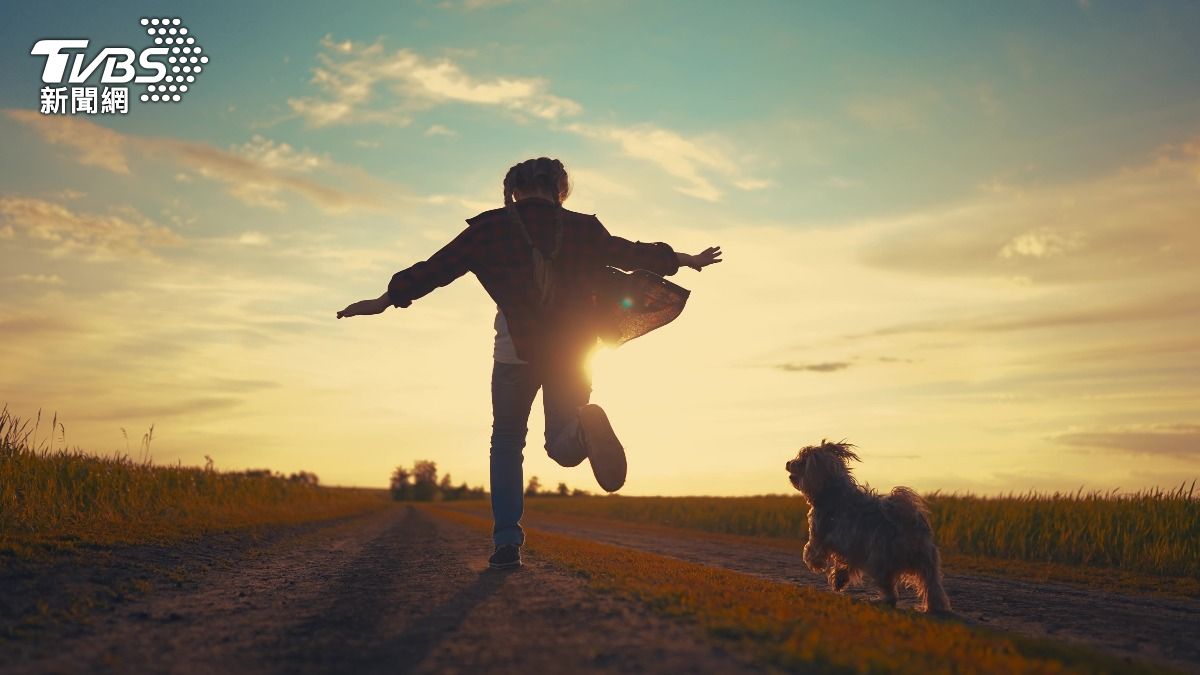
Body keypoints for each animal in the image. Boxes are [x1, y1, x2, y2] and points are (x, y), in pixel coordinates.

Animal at [782, 439, 950, 612]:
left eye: (801, 461)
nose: (788, 462)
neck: (830, 490)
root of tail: (908, 524)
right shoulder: (851, 547)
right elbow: (844, 564)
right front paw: (839, 580)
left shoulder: (820, 534)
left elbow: (812, 550)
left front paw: (816, 564)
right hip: (927, 561)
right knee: (933, 586)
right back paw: (936, 607)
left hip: (879, 561)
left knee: (891, 594)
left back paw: (879, 601)